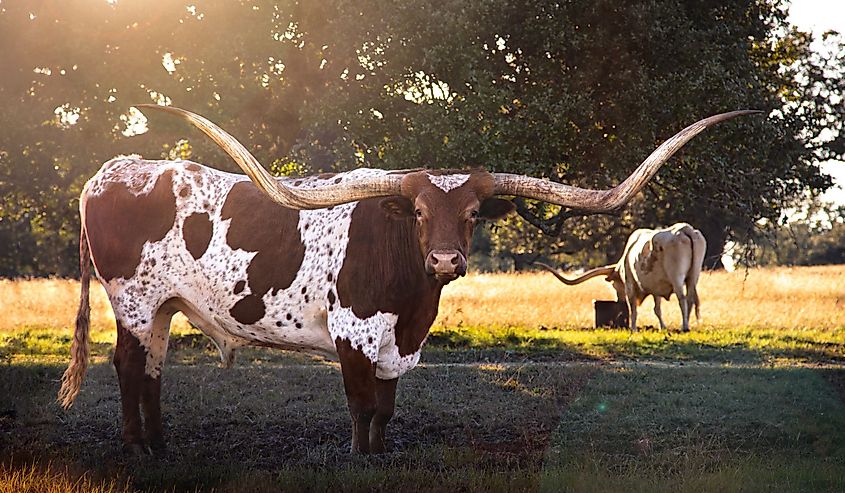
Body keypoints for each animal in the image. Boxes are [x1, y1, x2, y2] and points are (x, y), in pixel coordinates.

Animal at [536, 222, 708, 330]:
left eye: (614, 284)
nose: (618, 299)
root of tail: (685, 229)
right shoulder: (655, 287)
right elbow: (657, 308)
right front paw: (663, 327)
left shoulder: (631, 285)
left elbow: (633, 309)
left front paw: (633, 328)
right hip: (693, 276)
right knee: (691, 298)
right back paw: (689, 325)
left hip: (677, 276)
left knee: (683, 298)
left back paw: (684, 326)